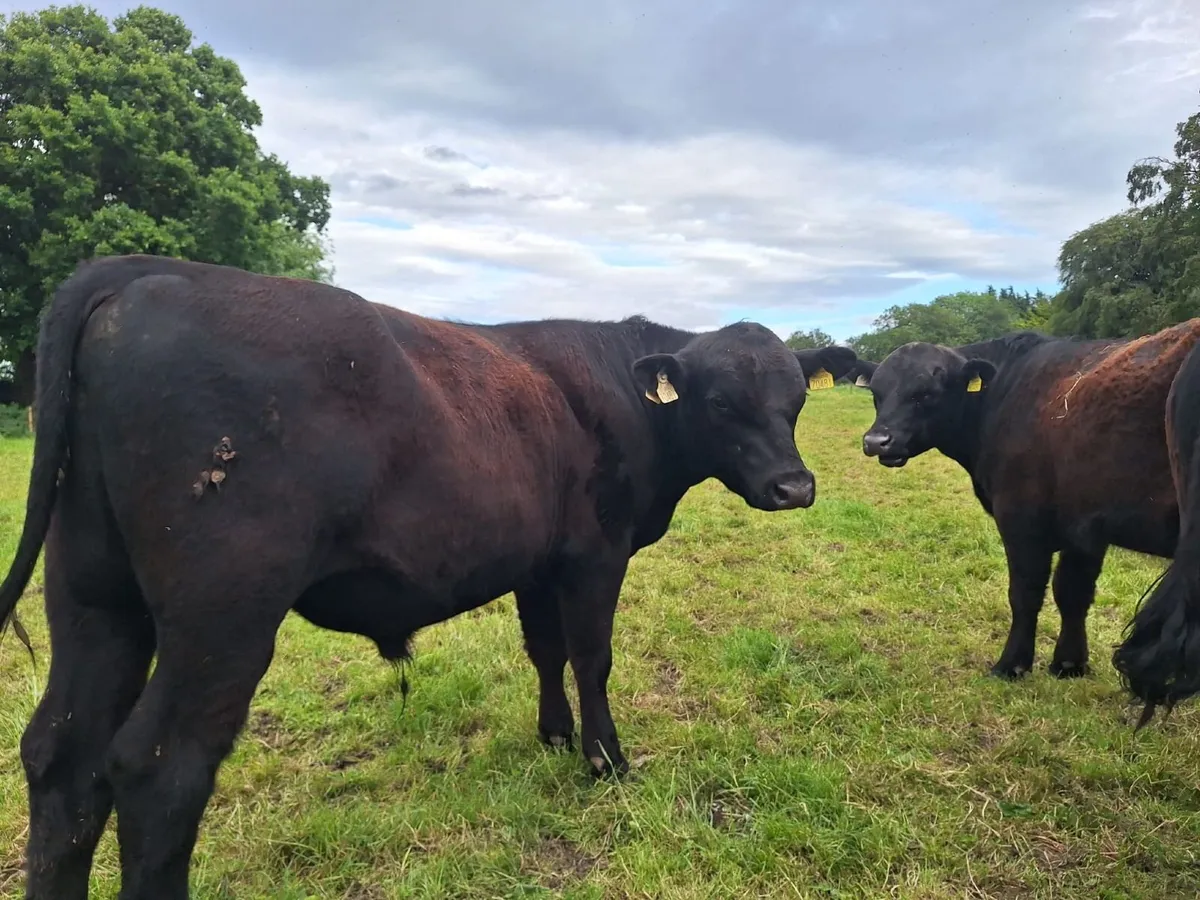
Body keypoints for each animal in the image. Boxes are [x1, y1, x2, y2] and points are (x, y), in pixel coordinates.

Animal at [0, 254, 856, 900]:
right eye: (721, 402)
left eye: (794, 400)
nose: (795, 486)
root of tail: (145, 271)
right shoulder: (595, 554)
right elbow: (591, 657)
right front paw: (605, 760)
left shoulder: (538, 562)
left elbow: (545, 652)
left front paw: (554, 736)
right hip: (221, 614)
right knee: (159, 771)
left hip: (94, 597)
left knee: (62, 759)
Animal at [861, 322, 1200, 681]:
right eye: (876, 394)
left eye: (925, 393)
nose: (877, 440)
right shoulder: (1086, 525)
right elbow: (1073, 592)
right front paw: (1069, 663)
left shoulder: (1020, 518)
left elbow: (1025, 594)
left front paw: (1011, 665)